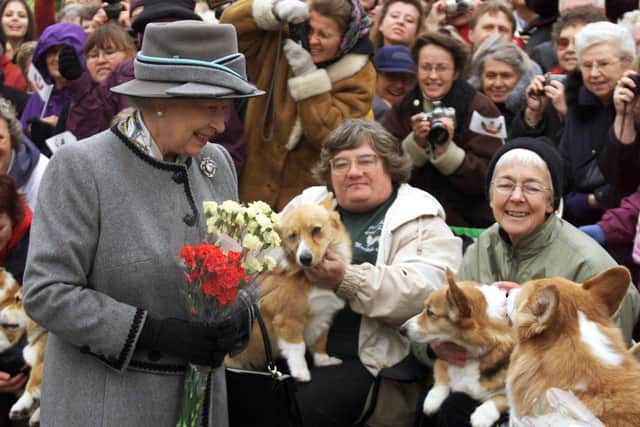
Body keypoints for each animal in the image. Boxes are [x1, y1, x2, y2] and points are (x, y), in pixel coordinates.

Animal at [228, 196, 352, 382]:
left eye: (316, 230)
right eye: (293, 236)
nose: (305, 258)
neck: (309, 278)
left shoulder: (323, 317)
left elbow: (320, 342)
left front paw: (324, 361)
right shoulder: (289, 320)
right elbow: (298, 348)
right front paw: (301, 373)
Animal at [402, 270, 512, 427]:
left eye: (430, 312)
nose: (401, 329)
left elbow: (501, 398)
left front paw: (482, 416)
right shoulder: (443, 355)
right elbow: (441, 376)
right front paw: (432, 400)